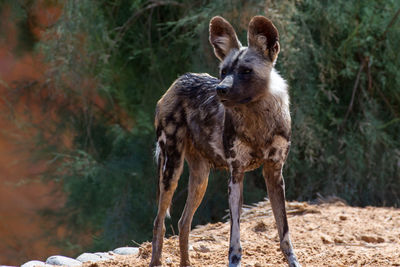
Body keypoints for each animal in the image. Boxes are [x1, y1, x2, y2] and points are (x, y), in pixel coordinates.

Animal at [150, 15, 300, 266]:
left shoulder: (274, 174)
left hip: (200, 178)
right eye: (223, 71)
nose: (220, 89)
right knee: (159, 224)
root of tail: (180, 80)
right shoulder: (236, 174)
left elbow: (284, 234)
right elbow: (235, 238)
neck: (257, 119)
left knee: (183, 222)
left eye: (246, 71)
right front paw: (234, 260)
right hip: (171, 170)